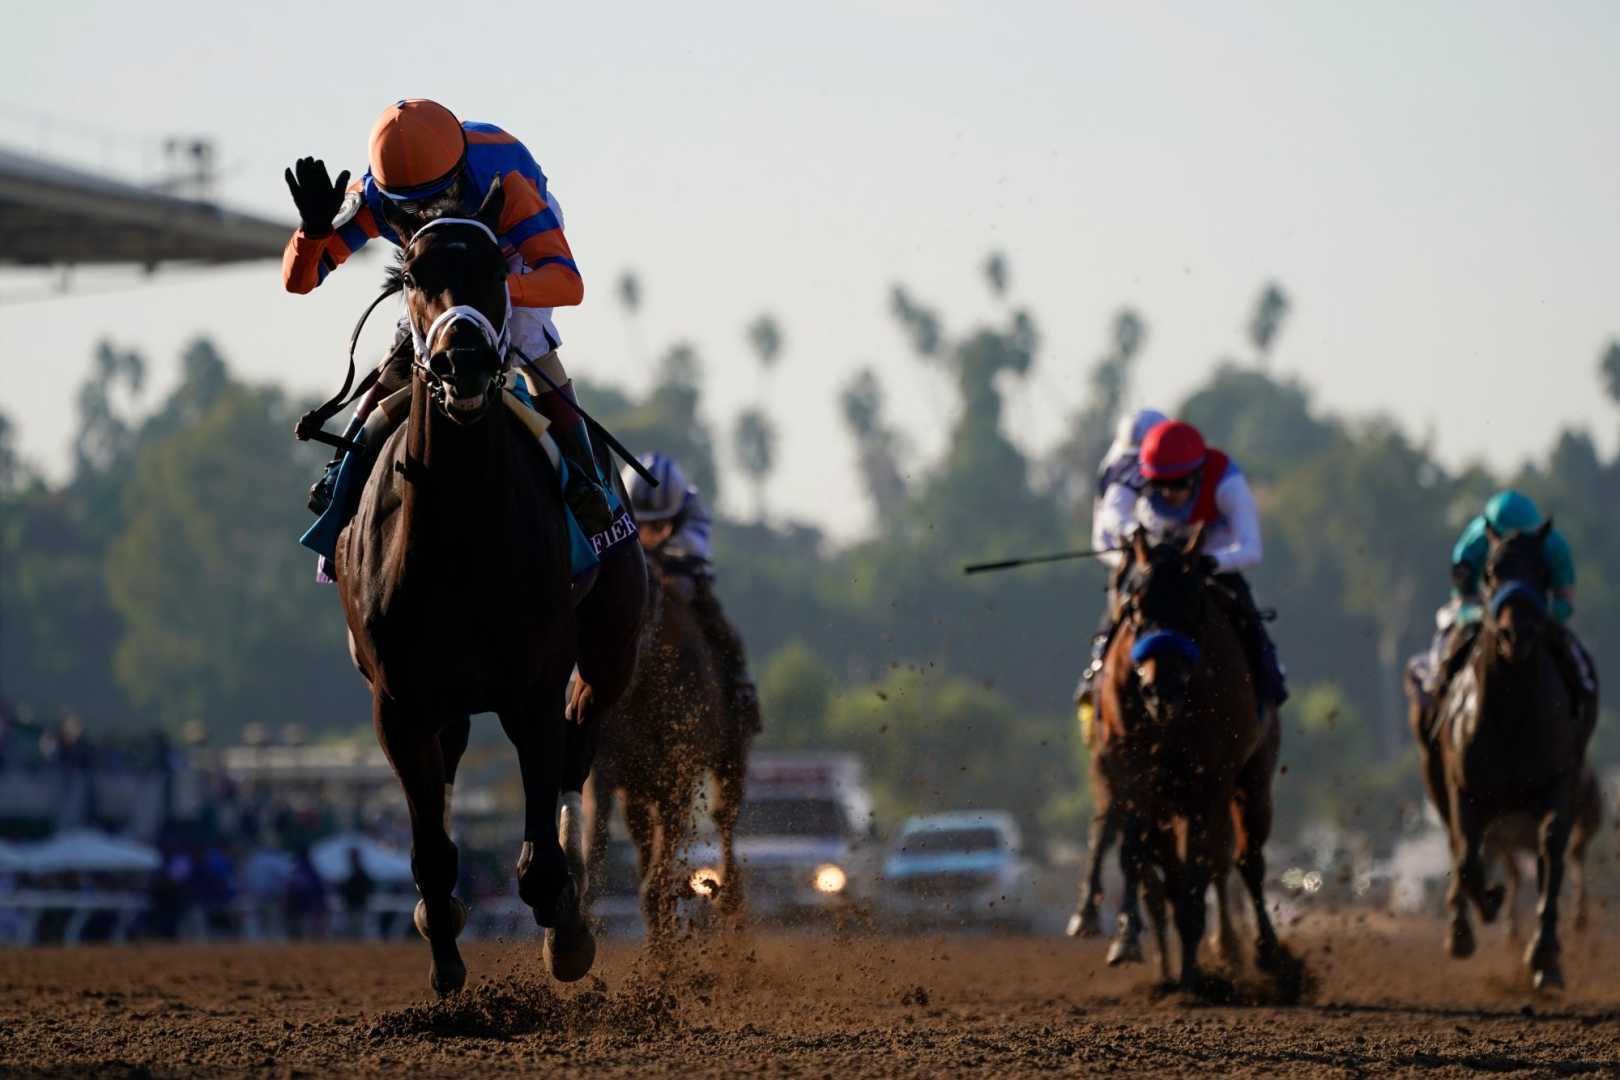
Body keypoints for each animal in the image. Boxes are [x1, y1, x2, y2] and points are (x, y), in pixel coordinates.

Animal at [333, 179, 644, 997]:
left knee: (578, 744)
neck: (460, 539)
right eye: (411, 273)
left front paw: (567, 934)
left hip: (607, 650)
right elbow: (431, 852)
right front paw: (443, 951)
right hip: (445, 705)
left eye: (498, 267)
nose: (463, 360)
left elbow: (538, 862)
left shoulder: (531, 688)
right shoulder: (399, 702)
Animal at [589, 563, 751, 939]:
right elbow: (595, 849)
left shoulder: (679, 779)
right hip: (639, 794)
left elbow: (654, 886)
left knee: (724, 820)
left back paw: (727, 899)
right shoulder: (606, 772)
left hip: (730, 761)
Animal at [1095, 527, 1283, 990]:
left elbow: (1201, 872)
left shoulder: (1209, 782)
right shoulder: (1134, 776)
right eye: (1136, 605)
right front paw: (1126, 939)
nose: (1161, 690)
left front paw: (1194, 975)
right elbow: (1135, 855)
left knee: (1247, 860)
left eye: (1194, 604)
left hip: (1254, 778)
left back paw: (1266, 952)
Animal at [1432, 521, 1594, 990]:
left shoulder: (1560, 783)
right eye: (1490, 571)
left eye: (1543, 572)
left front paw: (1545, 955)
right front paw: (1484, 907)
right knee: (1463, 849)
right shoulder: (1465, 789)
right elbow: (1468, 858)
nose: (1515, 633)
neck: (1512, 713)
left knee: (1547, 858)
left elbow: (1552, 850)